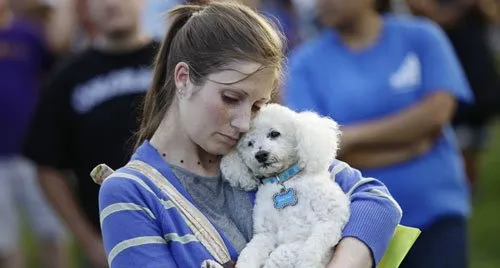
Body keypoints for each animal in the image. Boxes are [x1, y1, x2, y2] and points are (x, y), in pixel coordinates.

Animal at [221, 103, 350, 268]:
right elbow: (250, 252)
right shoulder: (265, 233)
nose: (260, 155)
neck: (283, 180)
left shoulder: (329, 221)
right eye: (249, 143)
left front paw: (306, 261)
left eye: (274, 134)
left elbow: (294, 251)